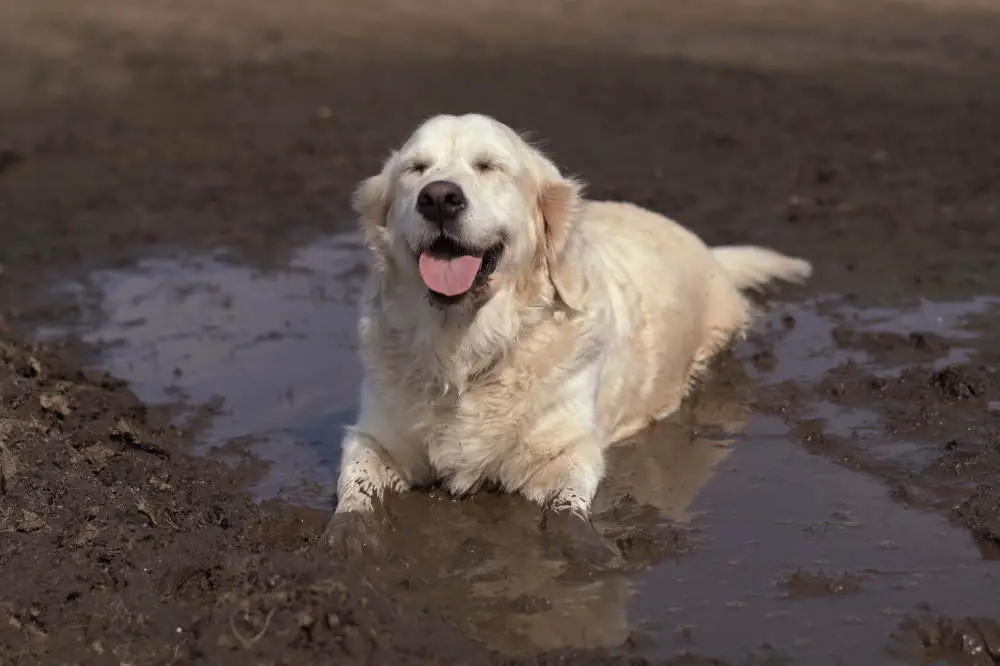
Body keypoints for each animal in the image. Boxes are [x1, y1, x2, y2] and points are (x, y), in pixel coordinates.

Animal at [324, 113, 808, 556]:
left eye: (488, 166)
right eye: (416, 168)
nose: (439, 197)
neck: (465, 345)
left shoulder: (568, 448)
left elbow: (567, 504)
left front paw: (583, 547)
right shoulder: (375, 437)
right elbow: (356, 485)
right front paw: (348, 535)